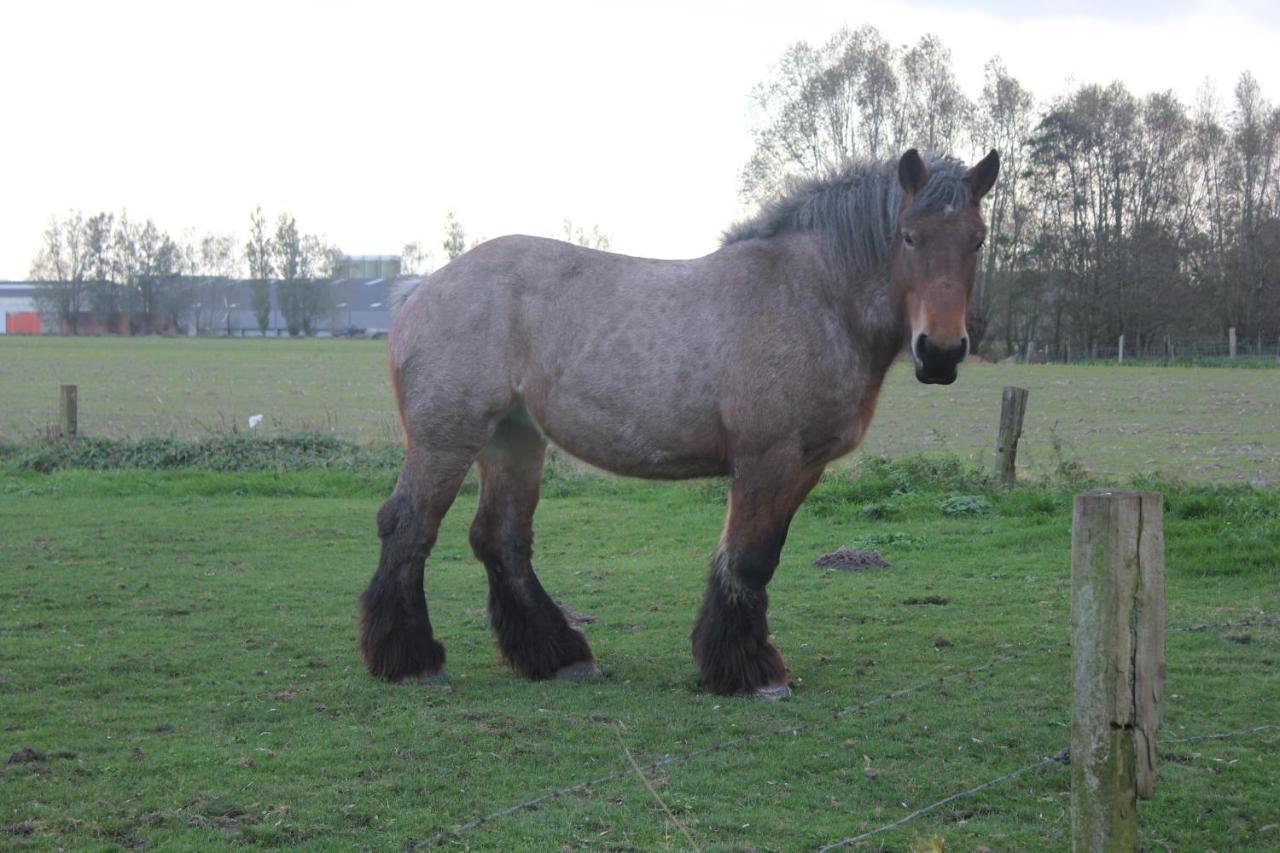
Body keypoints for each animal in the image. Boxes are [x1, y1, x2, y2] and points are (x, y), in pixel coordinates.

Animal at [360, 147, 998, 691]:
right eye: (909, 236)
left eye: (977, 240)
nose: (940, 353)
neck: (810, 294)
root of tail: (418, 295)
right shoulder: (768, 459)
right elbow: (748, 559)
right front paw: (750, 671)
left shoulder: (805, 465)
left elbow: (750, 556)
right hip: (448, 441)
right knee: (409, 525)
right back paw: (413, 661)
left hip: (513, 440)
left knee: (502, 540)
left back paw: (557, 655)